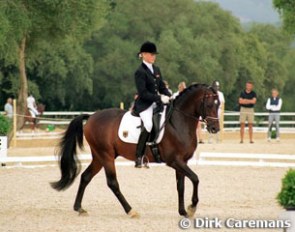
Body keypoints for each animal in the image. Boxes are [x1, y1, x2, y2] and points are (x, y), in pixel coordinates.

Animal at [51, 84, 220, 218]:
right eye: (209, 105)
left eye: (218, 105)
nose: (215, 129)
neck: (178, 122)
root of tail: (91, 116)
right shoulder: (174, 161)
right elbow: (195, 178)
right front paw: (192, 207)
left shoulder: (182, 161)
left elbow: (181, 186)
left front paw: (183, 212)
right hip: (106, 155)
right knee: (112, 183)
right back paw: (130, 210)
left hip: (99, 157)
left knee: (86, 177)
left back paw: (79, 208)